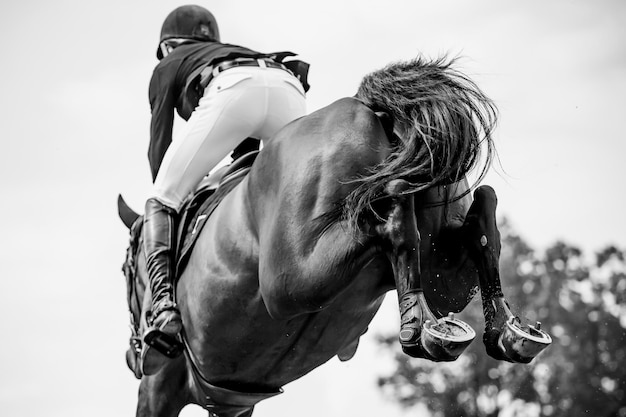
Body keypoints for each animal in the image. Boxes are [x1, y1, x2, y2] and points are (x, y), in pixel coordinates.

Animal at [117, 56, 544, 416]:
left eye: (125, 272)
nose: (132, 358)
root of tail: (373, 109)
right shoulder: (232, 402)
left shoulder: (160, 384)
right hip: (445, 272)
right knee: (476, 222)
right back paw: (500, 329)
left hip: (288, 283)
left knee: (385, 215)